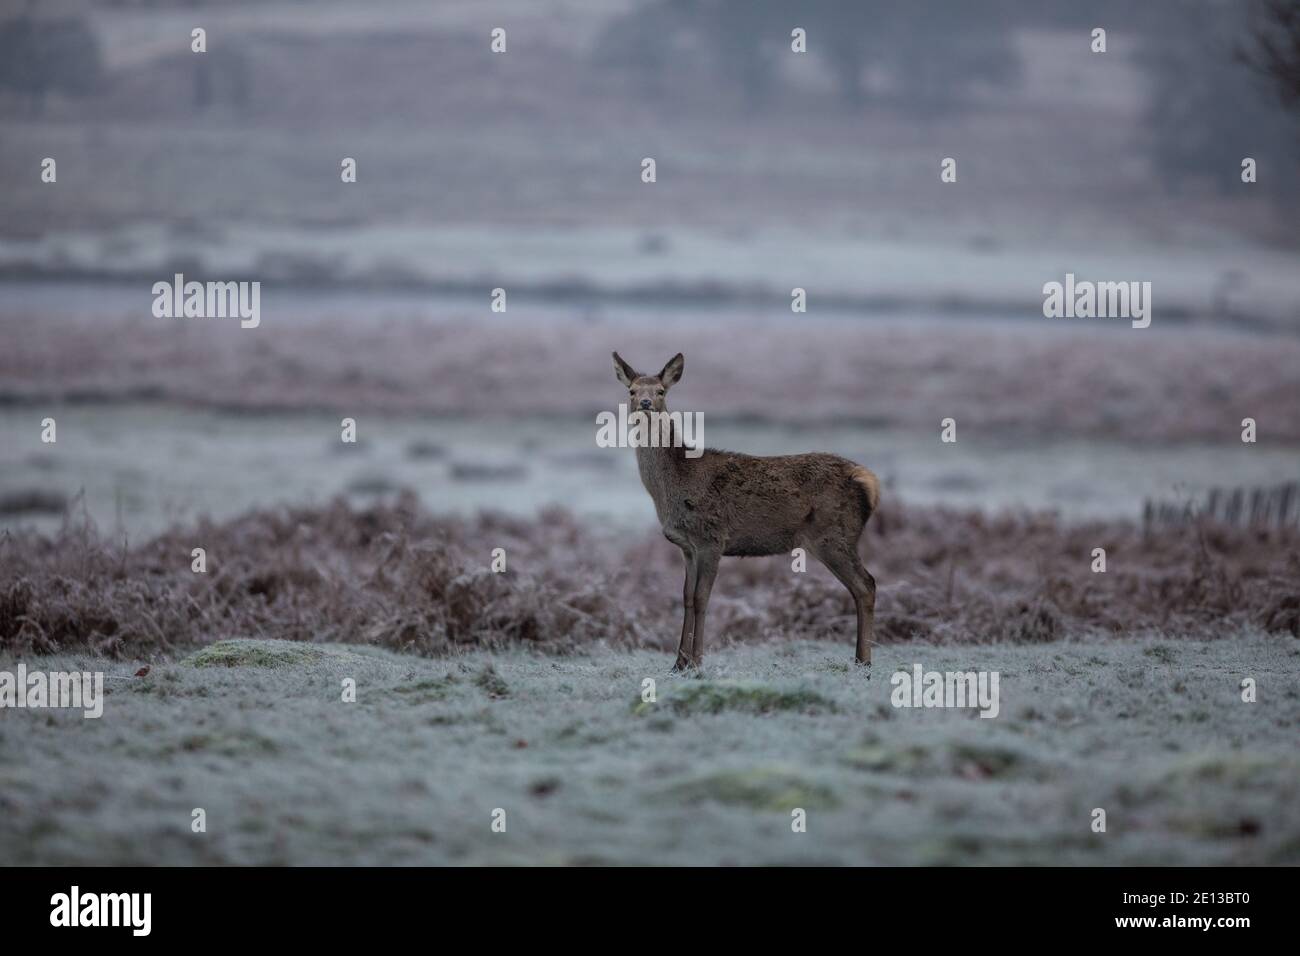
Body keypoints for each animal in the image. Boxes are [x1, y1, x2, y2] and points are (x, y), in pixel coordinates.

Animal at [611, 351, 883, 671]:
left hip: (834, 535)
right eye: (632, 391)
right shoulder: (687, 547)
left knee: (866, 585)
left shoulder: (712, 538)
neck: (671, 489)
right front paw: (678, 663)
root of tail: (869, 480)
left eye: (661, 391)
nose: (645, 403)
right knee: (861, 586)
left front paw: (697, 662)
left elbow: (702, 598)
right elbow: (686, 597)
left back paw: (864, 662)